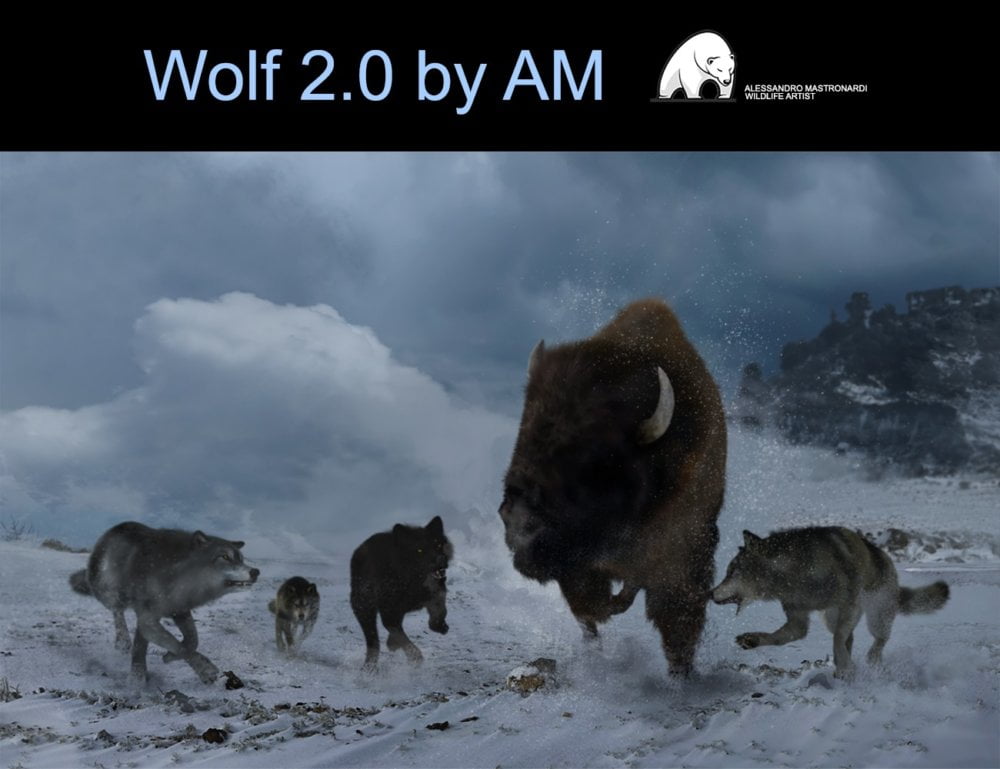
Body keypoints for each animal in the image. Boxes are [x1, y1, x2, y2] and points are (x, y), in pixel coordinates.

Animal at [69, 521, 259, 684]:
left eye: (241, 559)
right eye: (225, 557)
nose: (255, 572)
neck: (179, 577)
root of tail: (116, 527)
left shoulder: (179, 610)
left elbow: (191, 641)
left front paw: (168, 658)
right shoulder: (148, 619)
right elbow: (178, 645)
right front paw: (205, 670)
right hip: (110, 593)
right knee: (117, 611)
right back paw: (123, 642)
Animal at [350, 515, 453, 670]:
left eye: (438, 546)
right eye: (419, 550)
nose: (441, 561)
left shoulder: (437, 594)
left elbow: (440, 612)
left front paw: (440, 626)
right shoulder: (389, 613)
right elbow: (401, 637)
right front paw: (415, 657)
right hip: (364, 608)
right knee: (373, 640)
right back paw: (370, 666)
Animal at [711, 527, 949, 677]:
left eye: (731, 572)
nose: (710, 593)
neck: (795, 574)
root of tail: (885, 557)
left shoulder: (849, 604)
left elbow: (837, 640)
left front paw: (844, 668)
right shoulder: (797, 619)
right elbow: (779, 638)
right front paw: (751, 639)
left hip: (875, 617)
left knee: (878, 639)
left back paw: (869, 659)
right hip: (831, 618)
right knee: (849, 637)